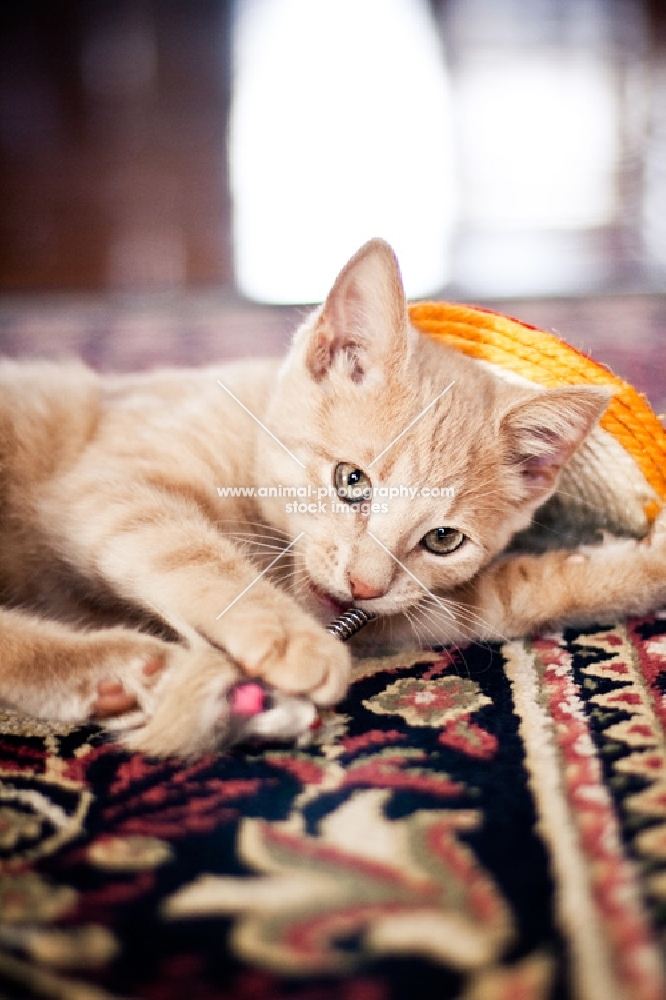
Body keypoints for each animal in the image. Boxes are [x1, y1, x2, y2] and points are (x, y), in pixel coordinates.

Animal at [1, 240, 664, 756]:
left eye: (443, 539)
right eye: (351, 481)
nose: (364, 585)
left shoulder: (401, 611)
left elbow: (513, 594)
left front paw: (643, 565)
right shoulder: (106, 480)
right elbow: (188, 550)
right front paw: (289, 638)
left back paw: (118, 676)